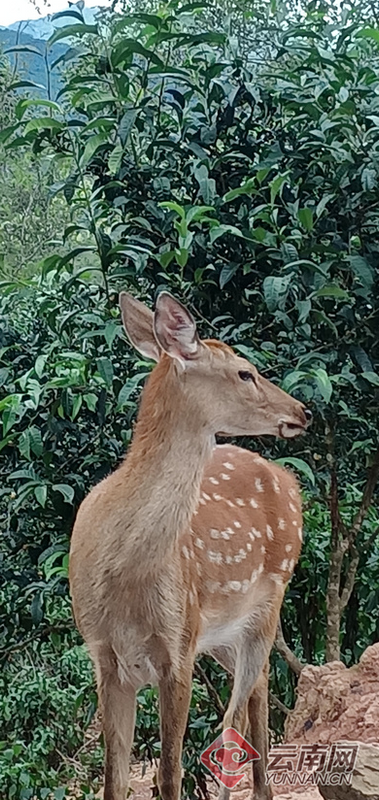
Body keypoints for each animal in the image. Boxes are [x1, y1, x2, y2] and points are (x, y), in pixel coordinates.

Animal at [69, 292, 312, 800]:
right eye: (244, 372)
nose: (304, 412)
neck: (122, 573)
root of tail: (288, 478)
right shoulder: (104, 656)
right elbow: (115, 778)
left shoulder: (177, 646)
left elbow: (169, 773)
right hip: (221, 633)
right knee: (255, 689)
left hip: (267, 601)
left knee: (236, 712)